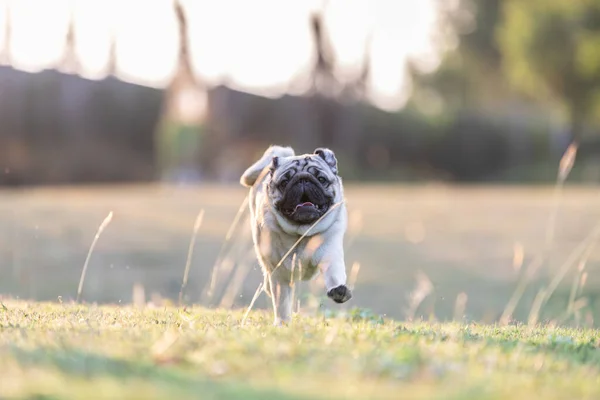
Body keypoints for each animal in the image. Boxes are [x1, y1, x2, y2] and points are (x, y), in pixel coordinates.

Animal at [239, 145, 352, 324]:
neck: (302, 232)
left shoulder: (330, 254)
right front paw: (282, 323)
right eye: (284, 183)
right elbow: (282, 302)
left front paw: (339, 290)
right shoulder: (279, 273)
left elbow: (334, 274)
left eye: (321, 179)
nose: (303, 180)